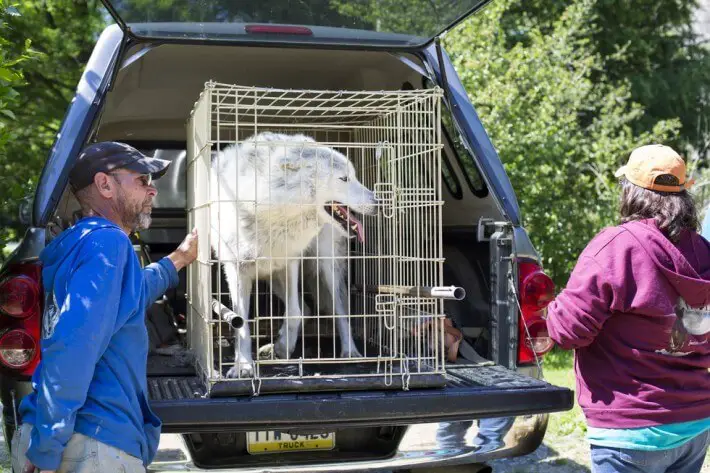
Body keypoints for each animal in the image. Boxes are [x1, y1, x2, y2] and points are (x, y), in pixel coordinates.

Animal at [210, 132, 378, 376]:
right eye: (344, 179)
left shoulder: (291, 262)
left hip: (327, 268)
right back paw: (272, 347)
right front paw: (244, 366)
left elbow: (295, 312)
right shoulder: (237, 270)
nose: (379, 202)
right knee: (308, 308)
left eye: (354, 177)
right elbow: (240, 323)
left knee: (339, 311)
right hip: (274, 278)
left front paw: (283, 347)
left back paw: (350, 352)